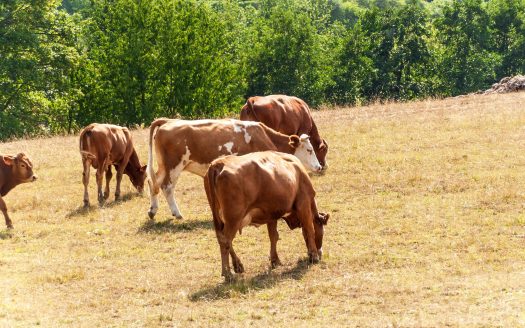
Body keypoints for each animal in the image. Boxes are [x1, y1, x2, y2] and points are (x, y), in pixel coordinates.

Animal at [145, 118, 322, 220]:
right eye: (309, 150)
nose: (319, 166)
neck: (264, 135)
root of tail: (167, 122)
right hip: (174, 166)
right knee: (167, 186)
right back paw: (177, 213)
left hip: (164, 166)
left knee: (153, 182)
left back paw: (153, 210)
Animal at [204, 151, 330, 282]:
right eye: (322, 232)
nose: (320, 252)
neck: (298, 172)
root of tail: (218, 163)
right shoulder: (303, 204)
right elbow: (309, 229)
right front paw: (314, 256)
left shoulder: (271, 215)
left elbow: (273, 236)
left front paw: (275, 260)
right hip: (233, 218)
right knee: (226, 241)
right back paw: (227, 273)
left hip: (220, 218)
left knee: (223, 240)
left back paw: (238, 265)